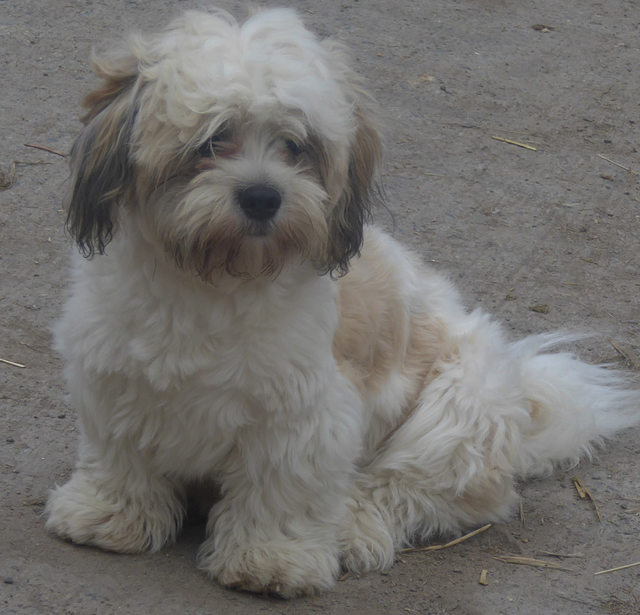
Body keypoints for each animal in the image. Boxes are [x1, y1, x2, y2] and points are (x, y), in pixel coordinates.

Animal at [42, 7, 636, 600]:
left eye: (295, 145)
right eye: (213, 140)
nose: (262, 196)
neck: (208, 283)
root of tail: (524, 392)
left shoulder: (306, 418)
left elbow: (281, 489)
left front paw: (271, 559)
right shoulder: (113, 380)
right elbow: (121, 458)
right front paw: (110, 514)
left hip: (461, 407)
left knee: (407, 487)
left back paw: (349, 528)